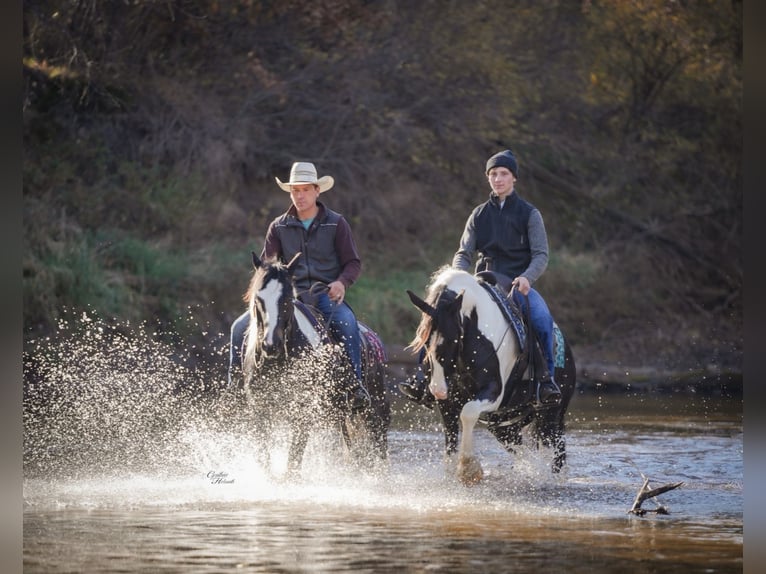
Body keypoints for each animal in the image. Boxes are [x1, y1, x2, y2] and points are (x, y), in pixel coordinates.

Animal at [241, 252, 390, 478]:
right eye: (259, 298)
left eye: (287, 299)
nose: (271, 345)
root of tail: (373, 337)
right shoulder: (260, 411)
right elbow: (266, 459)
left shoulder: (304, 412)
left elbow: (293, 460)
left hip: (376, 411)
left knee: (379, 449)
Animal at [406, 266, 576, 485]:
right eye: (424, 341)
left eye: (451, 340)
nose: (438, 390)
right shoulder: (448, 402)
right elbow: (450, 437)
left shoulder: (493, 392)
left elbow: (468, 413)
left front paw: (468, 469)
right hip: (504, 423)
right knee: (522, 449)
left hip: (551, 413)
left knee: (555, 450)